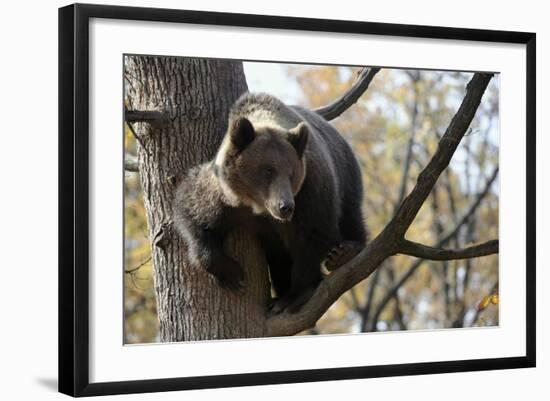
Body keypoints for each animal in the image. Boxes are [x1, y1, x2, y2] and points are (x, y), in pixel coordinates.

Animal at [175, 93, 368, 312]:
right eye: (268, 171)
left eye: (291, 174)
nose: (285, 206)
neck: (257, 206)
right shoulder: (224, 195)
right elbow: (194, 212)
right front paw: (232, 274)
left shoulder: (311, 188)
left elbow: (313, 233)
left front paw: (295, 295)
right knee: (278, 258)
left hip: (345, 172)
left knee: (350, 213)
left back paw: (345, 251)